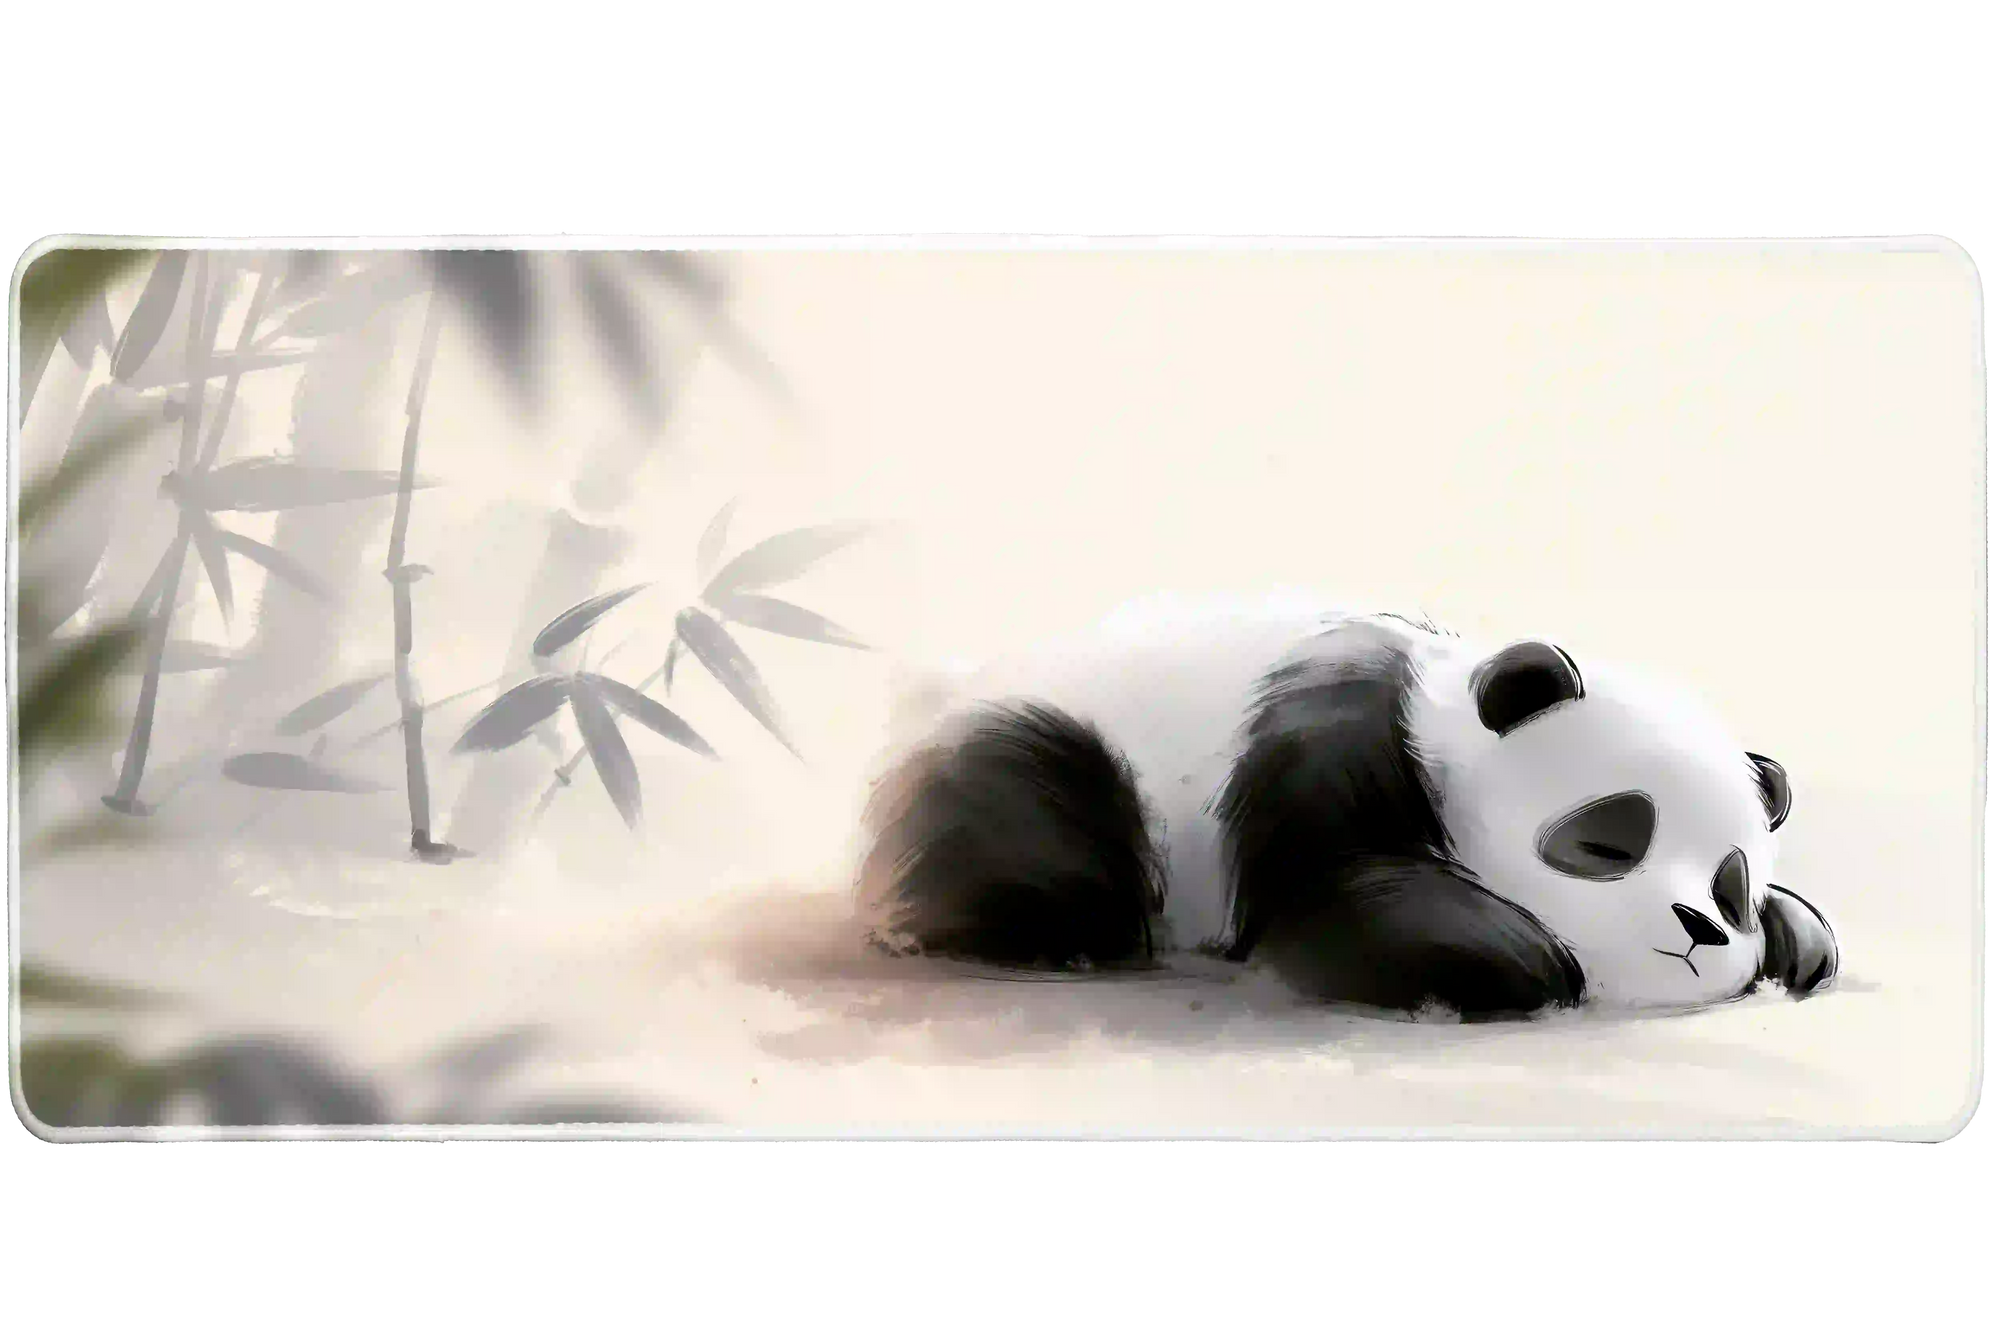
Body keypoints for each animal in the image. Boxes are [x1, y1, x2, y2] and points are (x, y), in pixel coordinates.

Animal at [855, 591, 1839, 1020]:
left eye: (1732, 887)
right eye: (1607, 840)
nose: (1699, 929)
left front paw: (1797, 940)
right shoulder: (1323, 747)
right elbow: (1339, 901)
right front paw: (1516, 958)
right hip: (1056, 757)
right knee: (1035, 819)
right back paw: (1069, 941)